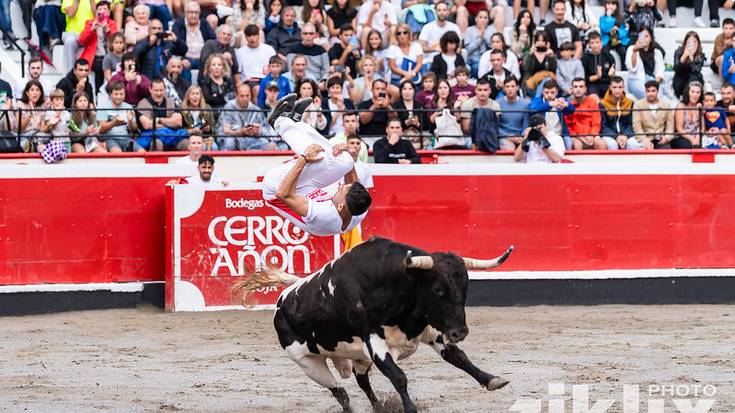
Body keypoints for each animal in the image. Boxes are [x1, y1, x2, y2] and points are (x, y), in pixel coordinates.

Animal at [233, 235, 516, 412]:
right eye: (437, 289)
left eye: (465, 286)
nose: (460, 332)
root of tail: (285, 296)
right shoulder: (374, 342)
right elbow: (399, 377)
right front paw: (410, 409)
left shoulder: (428, 330)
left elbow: (459, 358)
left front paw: (491, 380)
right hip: (308, 363)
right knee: (340, 391)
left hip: (357, 357)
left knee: (361, 382)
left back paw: (379, 407)